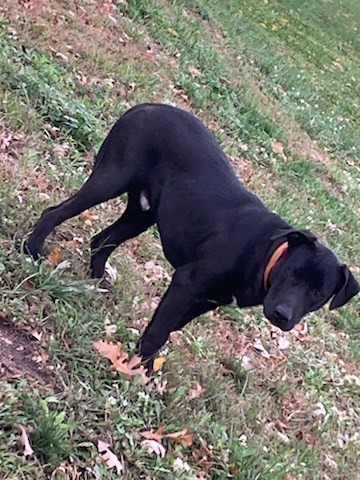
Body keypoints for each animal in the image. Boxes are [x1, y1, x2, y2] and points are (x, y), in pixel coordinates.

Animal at [26, 103, 360, 362]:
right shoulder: (187, 281)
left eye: (317, 294)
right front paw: (141, 373)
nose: (282, 315)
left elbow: (168, 327)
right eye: (290, 272)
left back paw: (97, 283)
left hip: (142, 213)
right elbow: (159, 332)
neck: (265, 254)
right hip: (111, 179)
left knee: (103, 239)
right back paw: (31, 251)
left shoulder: (206, 300)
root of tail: (145, 107)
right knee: (54, 213)